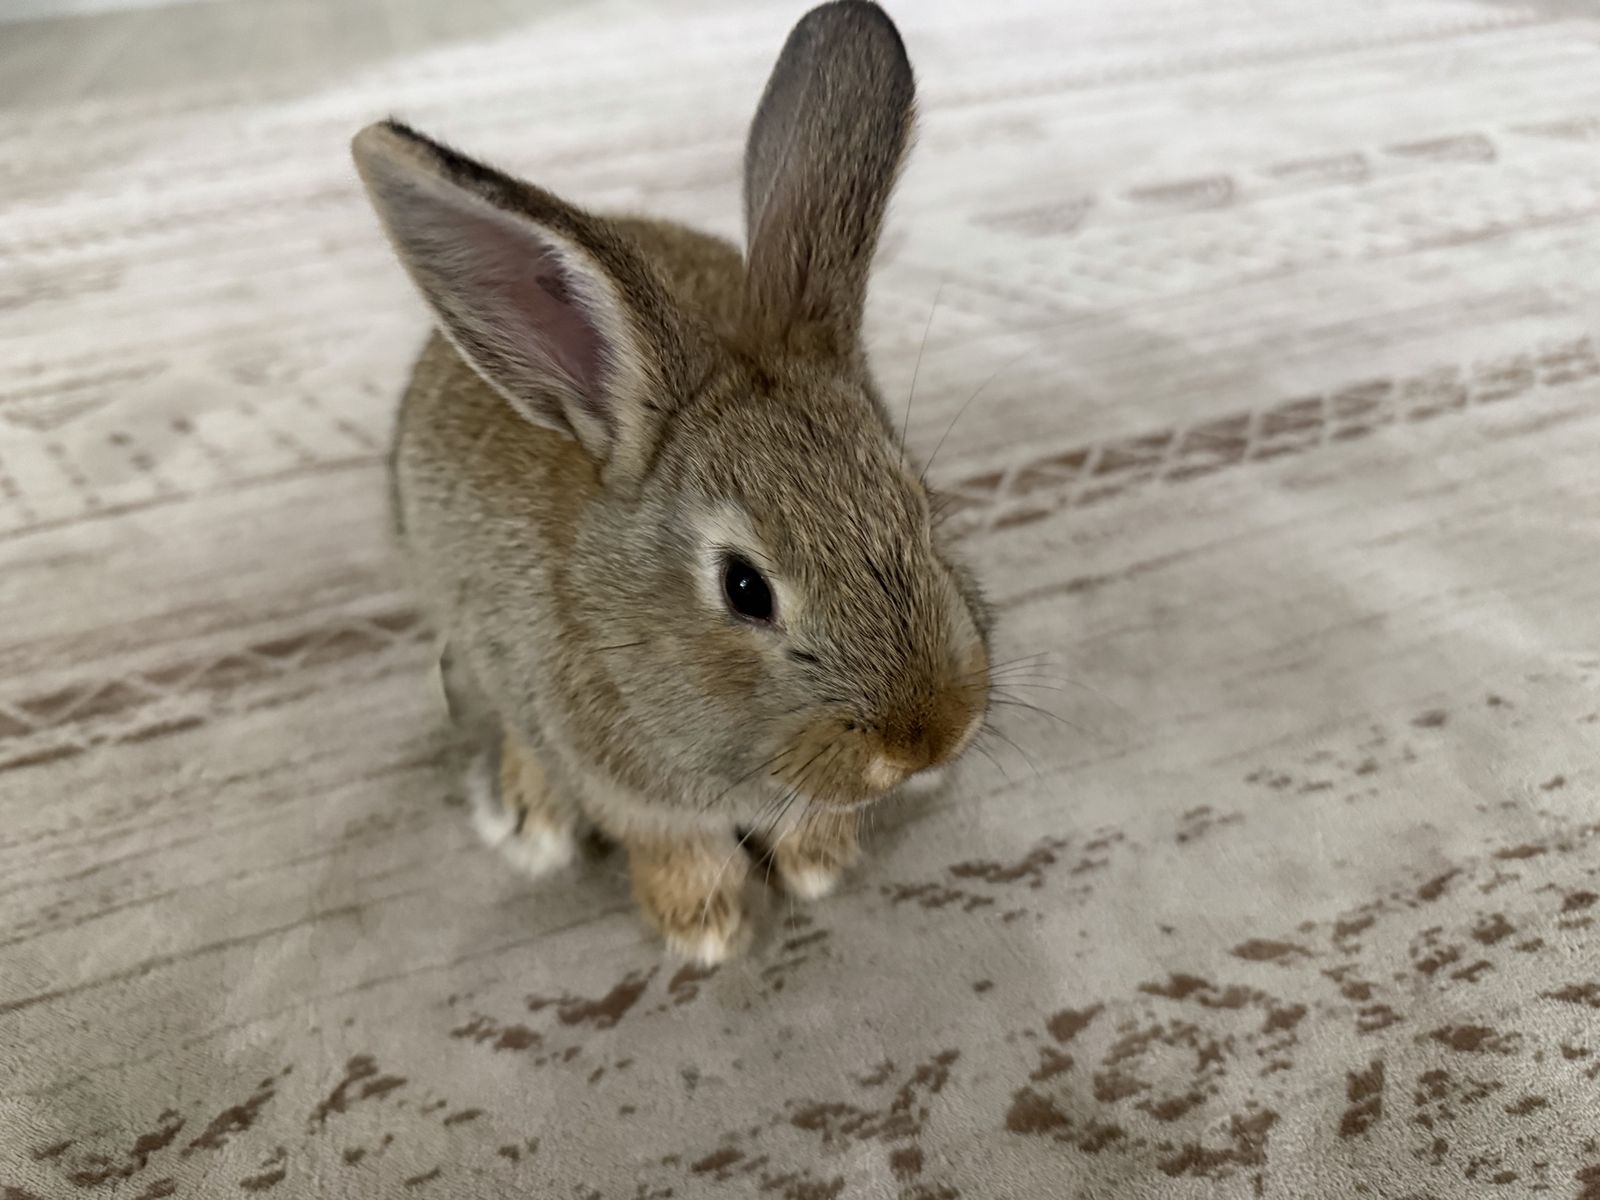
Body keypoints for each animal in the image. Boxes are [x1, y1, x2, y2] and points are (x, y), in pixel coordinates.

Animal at [351, 0, 994, 964]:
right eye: (744, 588)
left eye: (917, 508)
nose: (926, 738)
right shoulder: (628, 791)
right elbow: (675, 849)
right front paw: (706, 930)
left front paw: (818, 866)